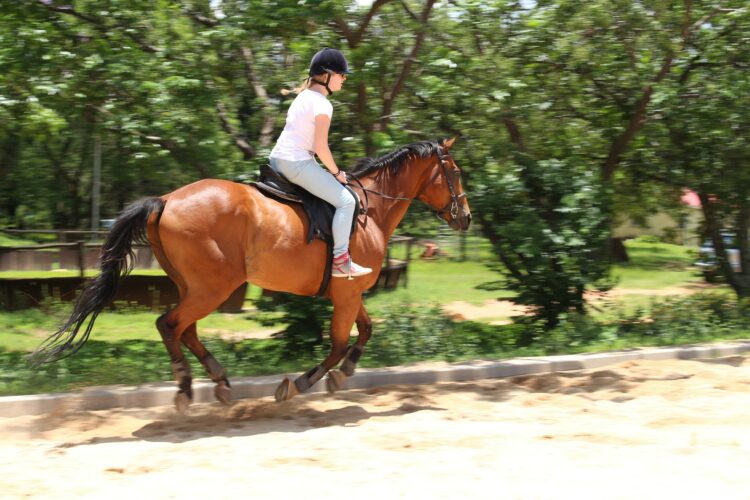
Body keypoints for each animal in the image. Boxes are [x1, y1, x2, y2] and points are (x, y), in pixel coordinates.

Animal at [32, 137, 471, 411]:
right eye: (454, 172)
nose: (465, 216)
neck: (370, 211)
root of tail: (166, 200)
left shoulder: (350, 292)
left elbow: (364, 332)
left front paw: (342, 375)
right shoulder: (347, 293)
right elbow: (337, 344)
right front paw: (301, 384)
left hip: (196, 286)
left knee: (184, 329)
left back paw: (220, 382)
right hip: (213, 287)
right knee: (170, 325)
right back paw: (187, 388)